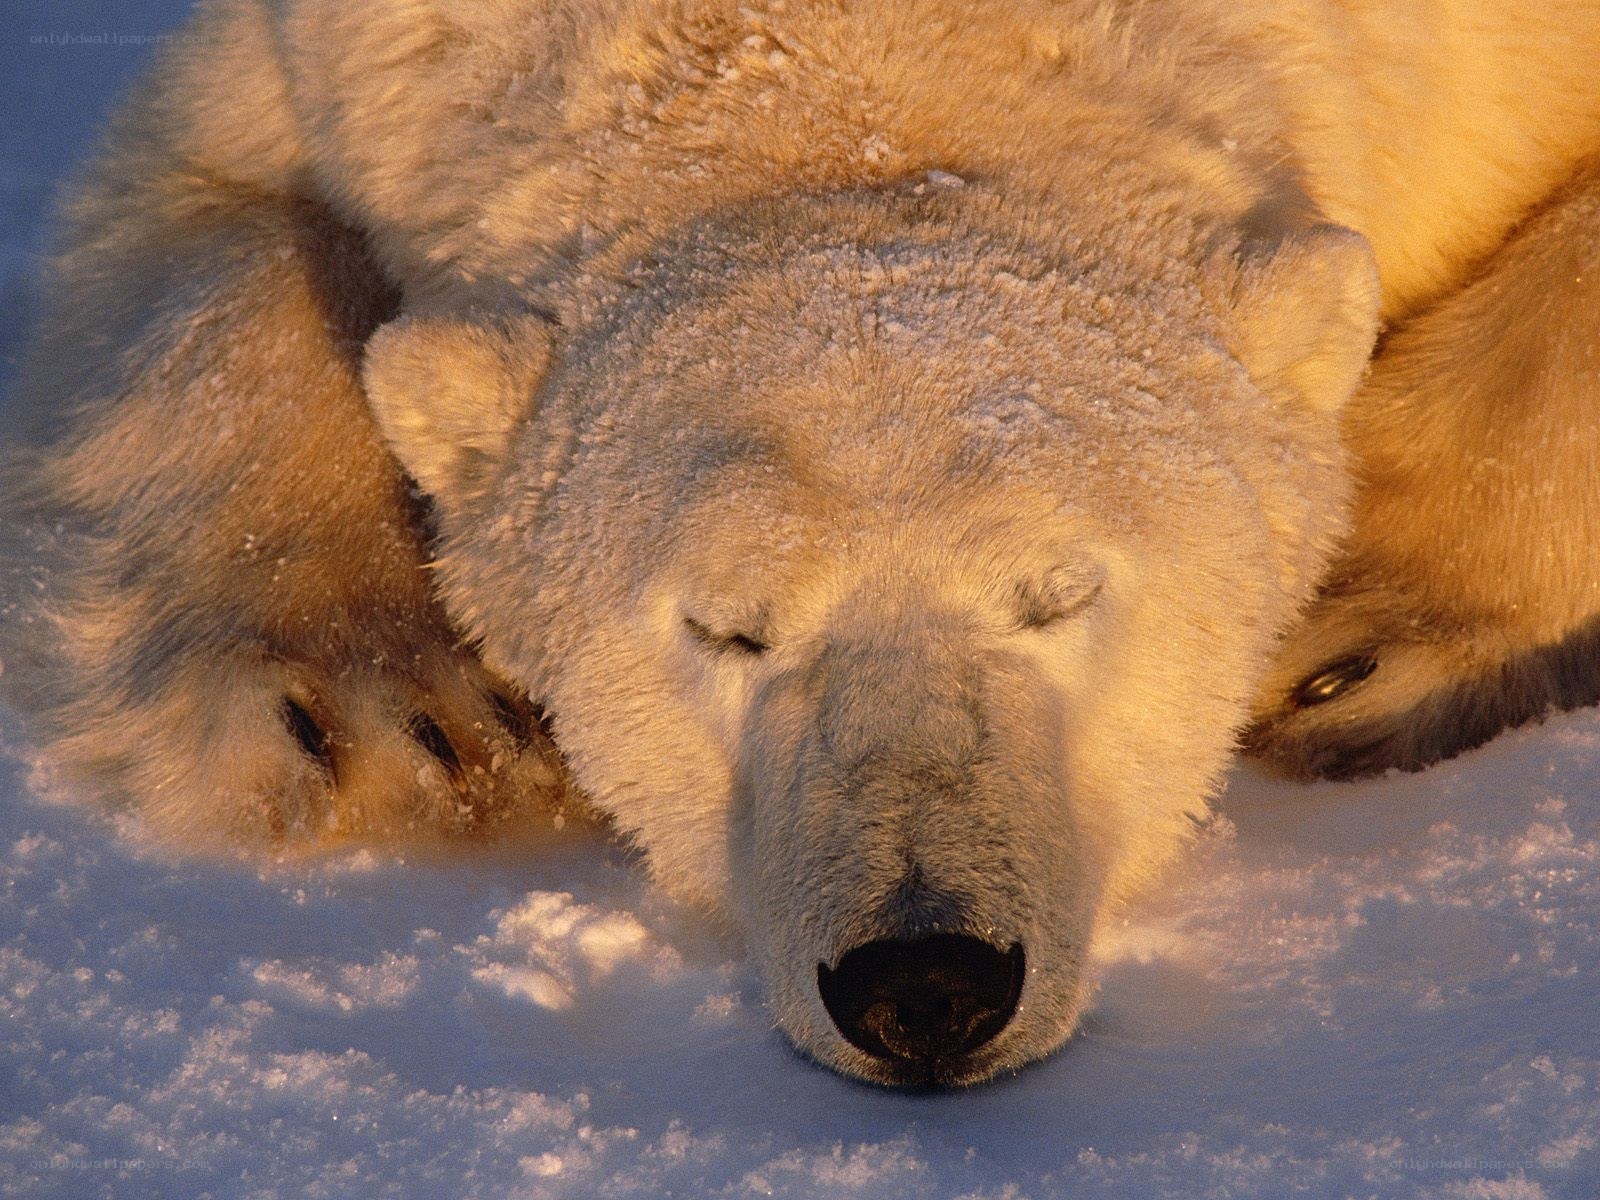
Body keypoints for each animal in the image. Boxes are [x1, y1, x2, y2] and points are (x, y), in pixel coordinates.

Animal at [1, 0, 1597, 1087]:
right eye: (725, 627)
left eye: (1059, 595)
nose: (927, 979)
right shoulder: (344, 61)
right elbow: (197, 220)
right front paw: (381, 719)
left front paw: (1363, 639)